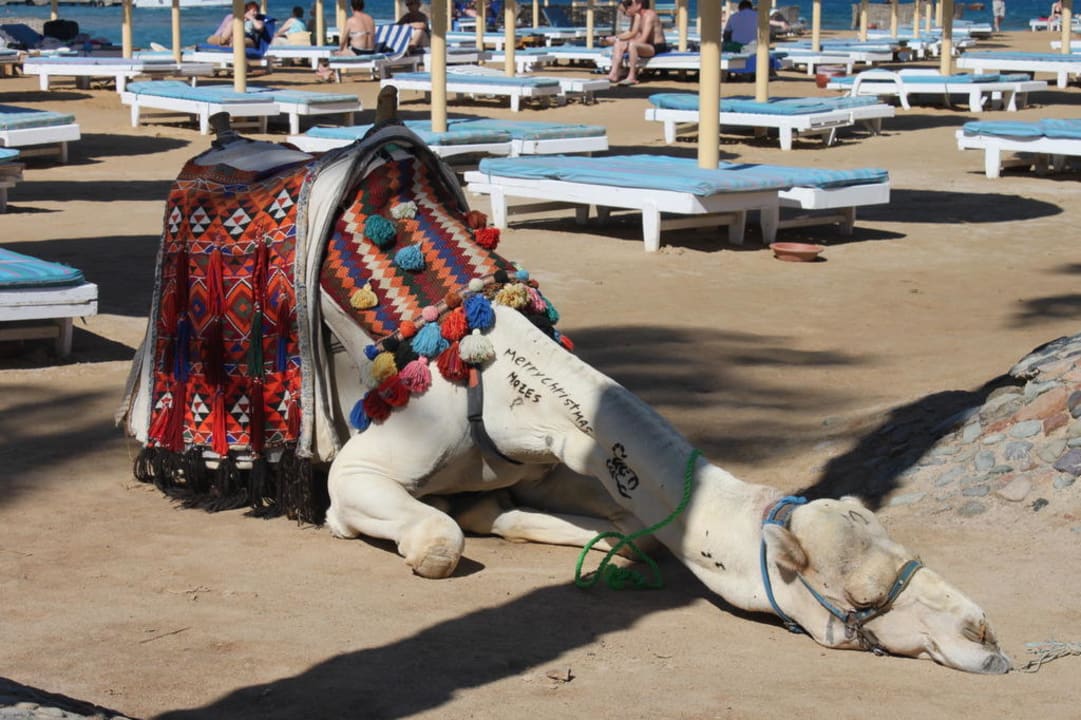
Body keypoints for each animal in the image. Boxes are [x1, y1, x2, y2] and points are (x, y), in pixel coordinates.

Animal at [121, 105, 1010, 675]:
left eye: (899, 547)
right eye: (855, 591)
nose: (983, 630)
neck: (508, 392)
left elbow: (619, 538)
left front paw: (510, 518)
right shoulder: (365, 466)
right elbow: (432, 536)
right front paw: (373, 530)